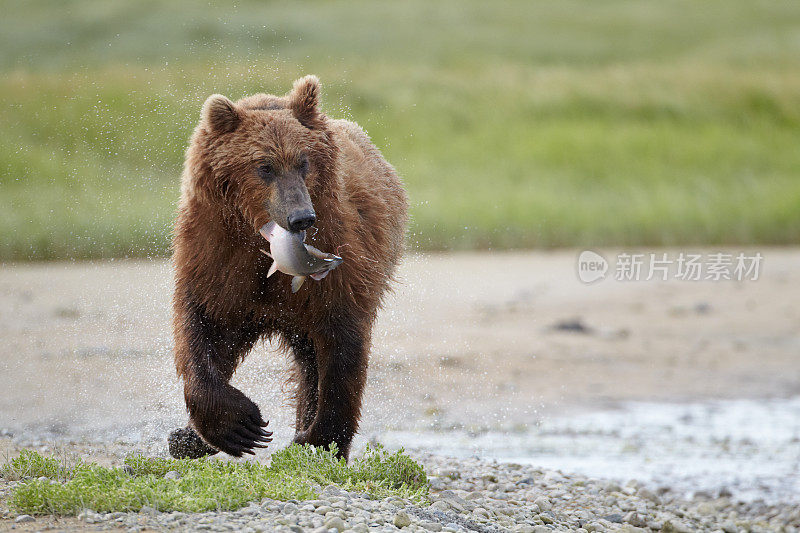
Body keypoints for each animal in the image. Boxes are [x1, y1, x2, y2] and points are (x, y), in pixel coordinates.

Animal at [169, 75, 406, 458]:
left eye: (304, 161)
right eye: (264, 166)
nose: (301, 217)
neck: (256, 236)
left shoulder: (339, 260)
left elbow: (341, 344)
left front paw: (318, 439)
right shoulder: (214, 252)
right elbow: (201, 324)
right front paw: (239, 427)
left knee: (312, 360)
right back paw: (185, 438)